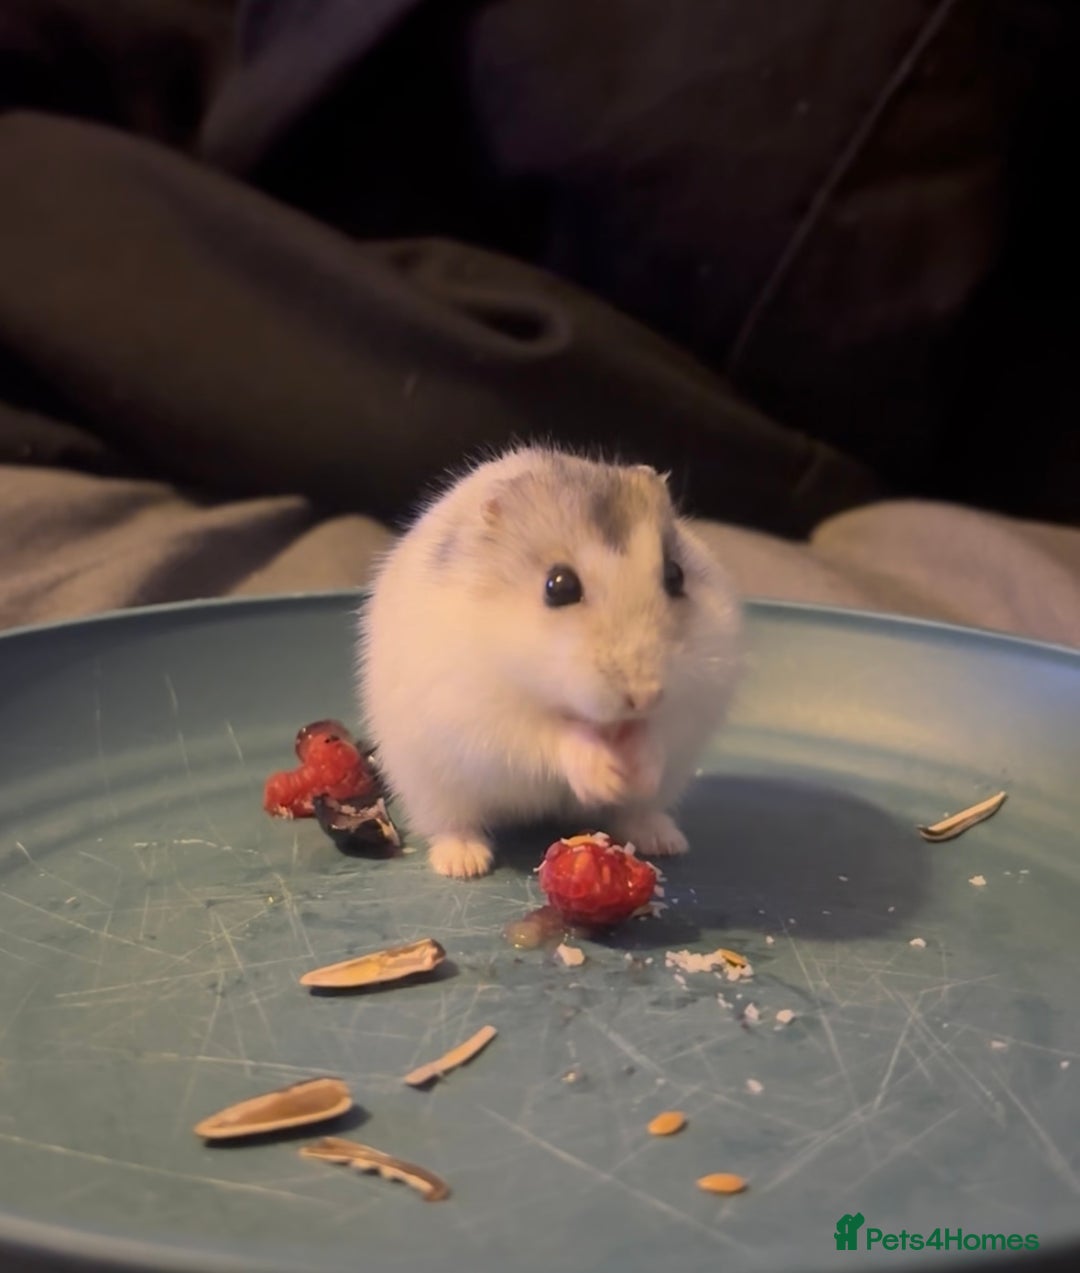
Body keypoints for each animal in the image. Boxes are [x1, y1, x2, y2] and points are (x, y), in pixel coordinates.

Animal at [355, 445, 742, 879]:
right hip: (430, 785)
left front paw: (635, 775)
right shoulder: (487, 717)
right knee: (453, 823)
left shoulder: (697, 695)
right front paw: (608, 779)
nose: (645, 696)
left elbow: (657, 731)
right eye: (558, 586)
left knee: (638, 815)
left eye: (675, 576)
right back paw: (464, 863)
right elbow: (555, 735)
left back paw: (665, 841)